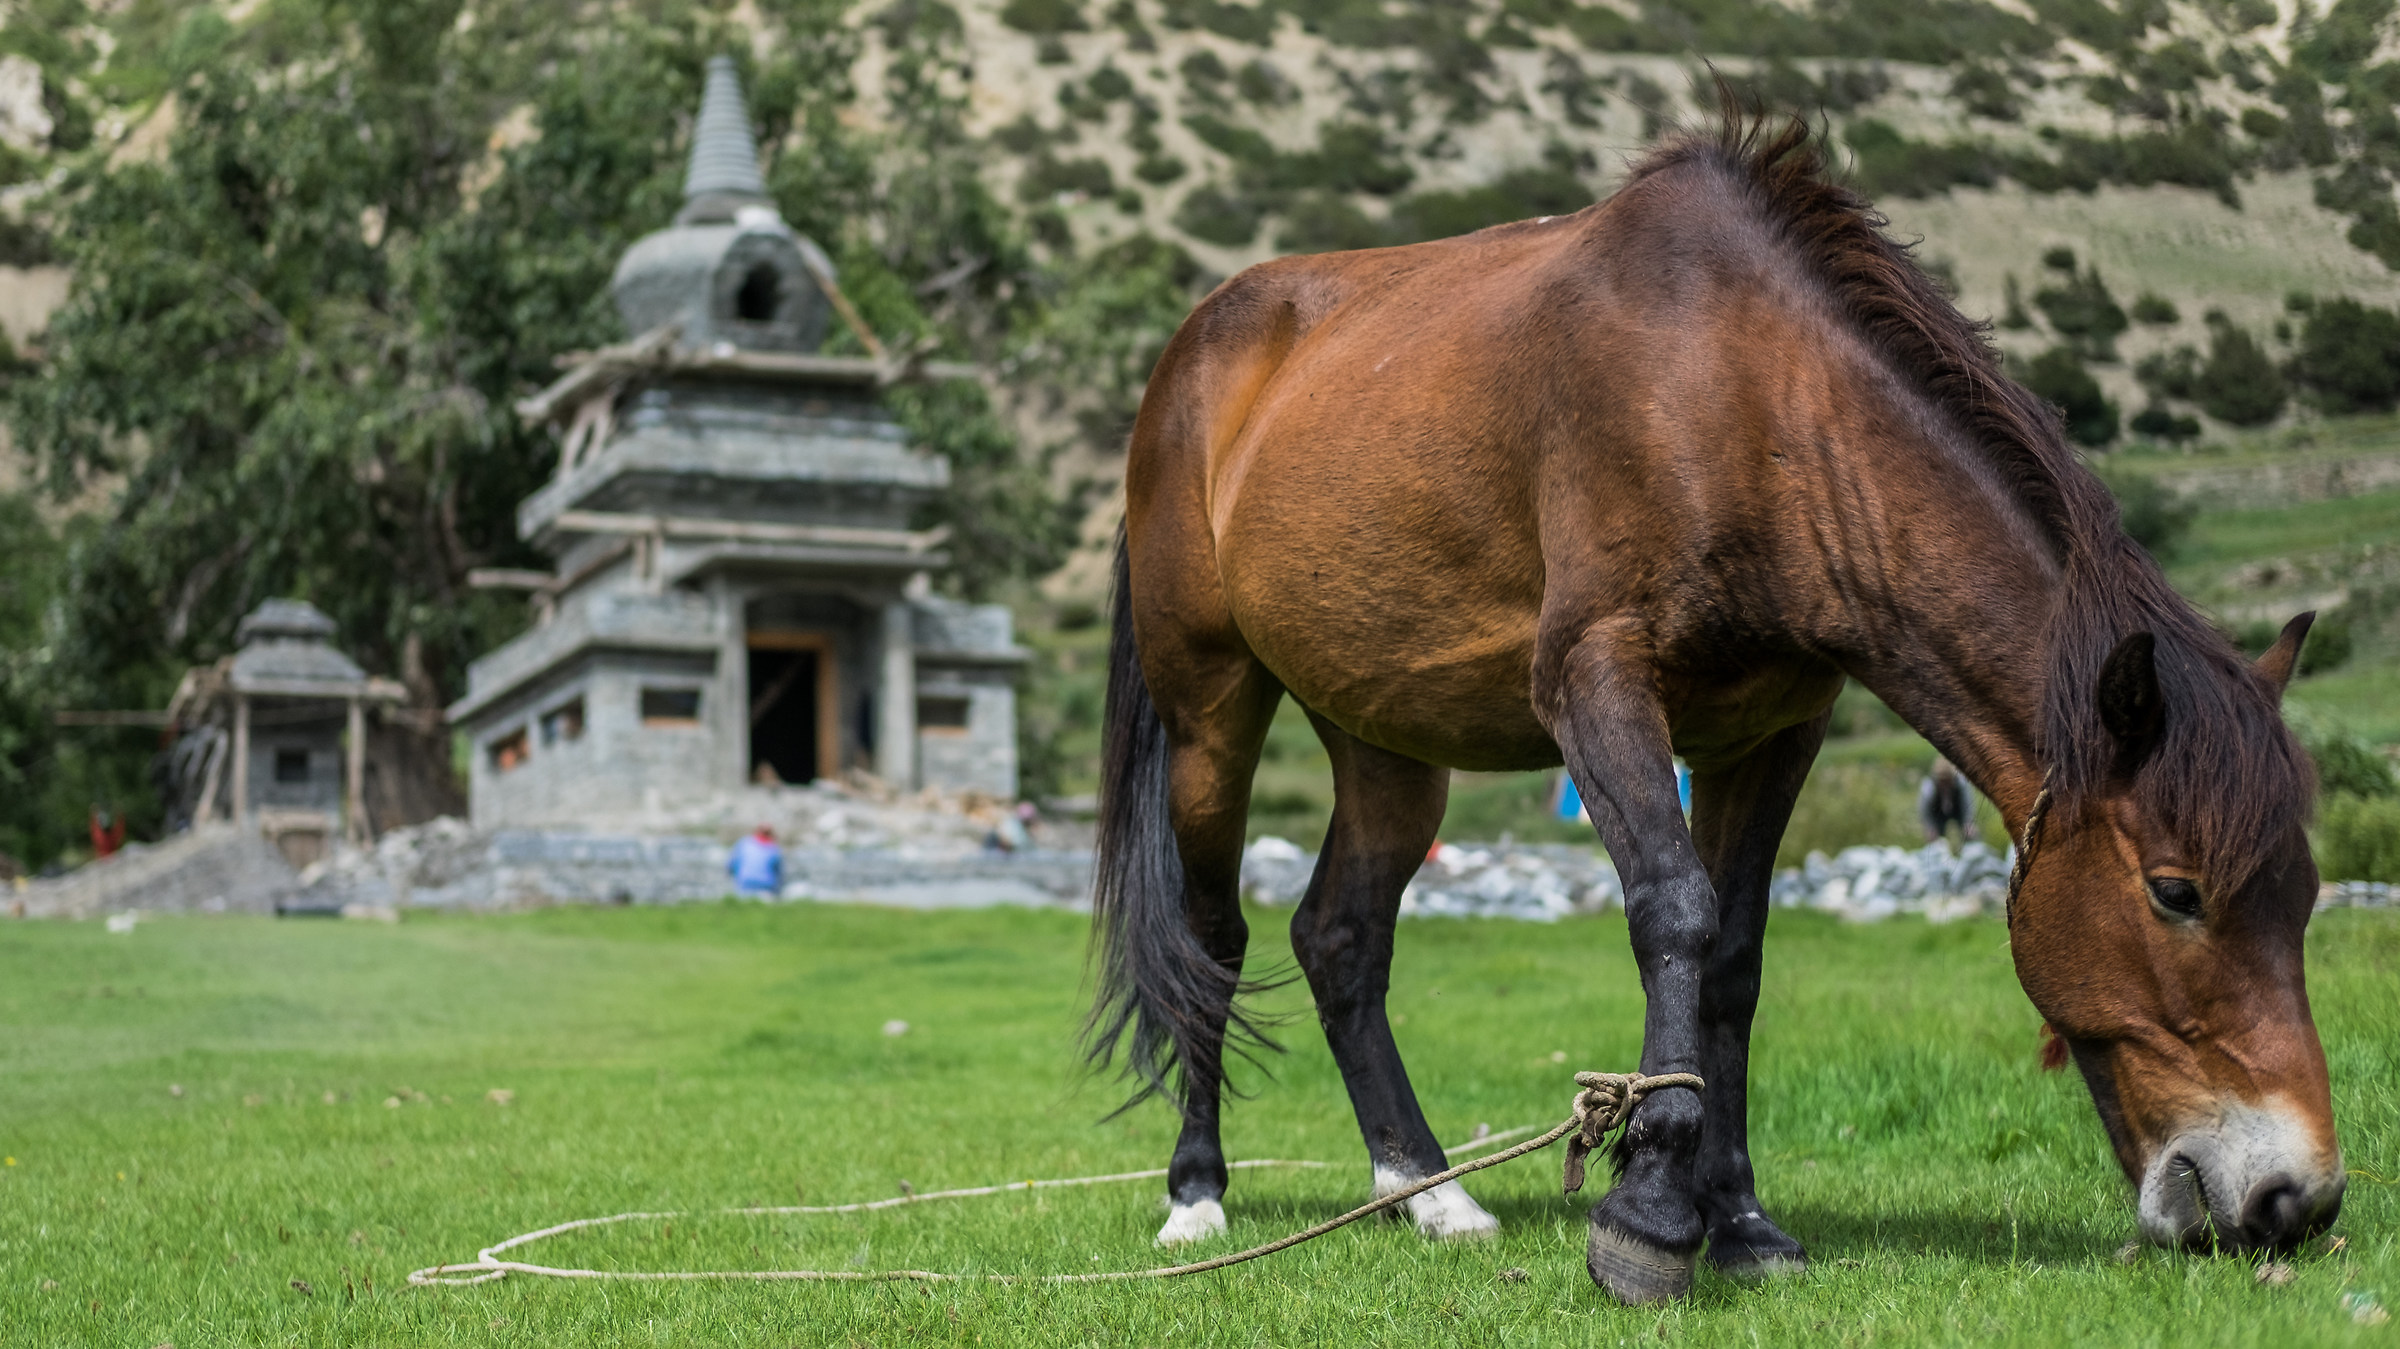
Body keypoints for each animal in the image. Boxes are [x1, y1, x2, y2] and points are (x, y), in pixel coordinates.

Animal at [1083, 111, 2343, 1305]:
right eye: (2176, 891)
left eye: (2304, 895)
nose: (2296, 1198)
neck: (1740, 396)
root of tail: (1198, 352)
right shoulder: (1597, 683)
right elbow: (1675, 912)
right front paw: (1648, 1210)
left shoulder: (1770, 731)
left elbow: (1734, 954)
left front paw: (1737, 1217)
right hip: (1211, 712)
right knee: (1214, 935)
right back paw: (1197, 1193)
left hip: (1385, 738)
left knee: (1340, 938)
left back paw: (1428, 1192)